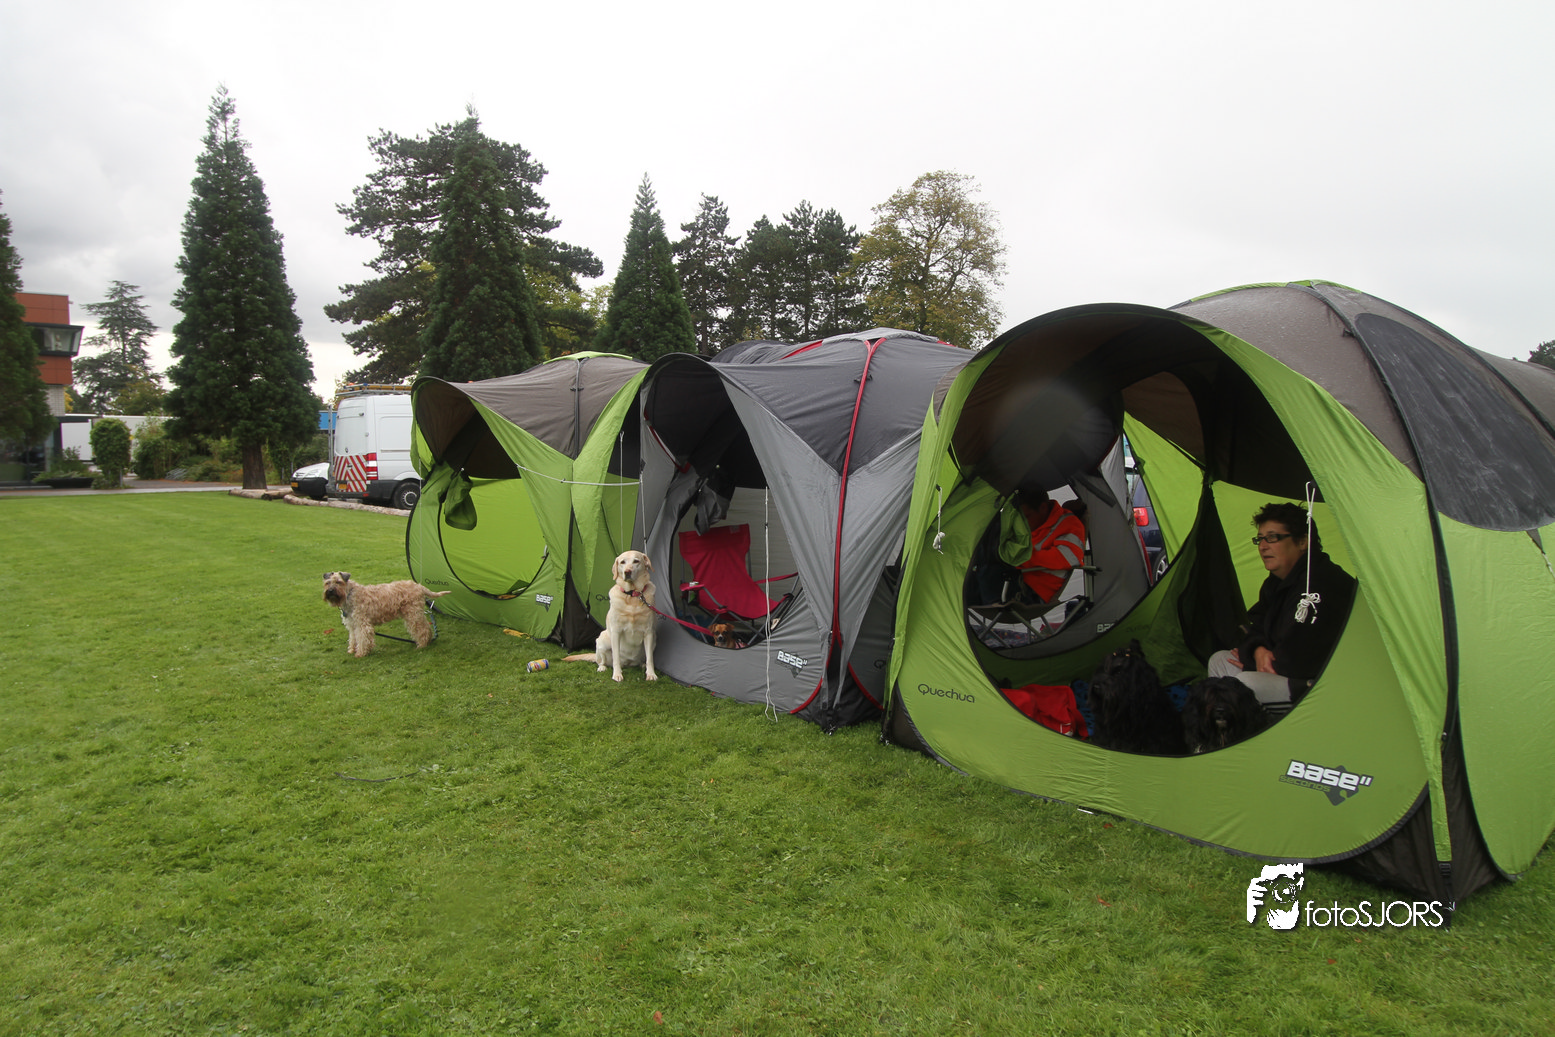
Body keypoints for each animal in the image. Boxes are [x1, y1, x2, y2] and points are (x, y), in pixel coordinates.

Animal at [322, 572, 451, 657]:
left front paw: (361, 653)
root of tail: (420, 586)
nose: (330, 591)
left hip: (412, 615)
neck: (349, 595)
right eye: (327, 583)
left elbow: (362, 639)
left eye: (338, 582)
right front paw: (352, 650)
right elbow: (353, 638)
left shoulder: (362, 624)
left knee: (423, 629)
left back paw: (422, 644)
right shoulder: (352, 624)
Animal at [563, 550, 658, 682]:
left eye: (636, 561)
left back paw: (642, 665)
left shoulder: (648, 632)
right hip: (602, 639)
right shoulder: (616, 632)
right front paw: (617, 674)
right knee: (601, 660)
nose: (627, 572)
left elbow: (650, 658)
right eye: (622, 562)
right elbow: (616, 656)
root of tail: (628, 662)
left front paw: (651, 674)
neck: (632, 596)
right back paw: (602, 667)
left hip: (654, 640)